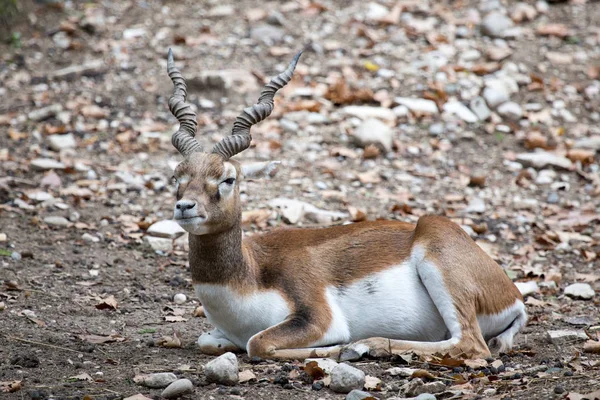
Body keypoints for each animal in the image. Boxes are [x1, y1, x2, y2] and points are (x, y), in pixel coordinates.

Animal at [166, 49, 528, 360]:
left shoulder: (319, 318)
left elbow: (258, 343)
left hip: (439, 257)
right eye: (177, 175)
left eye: (227, 179)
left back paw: (367, 345)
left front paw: (339, 347)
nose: (185, 207)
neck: (250, 275)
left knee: (471, 344)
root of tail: (512, 294)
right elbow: (207, 340)